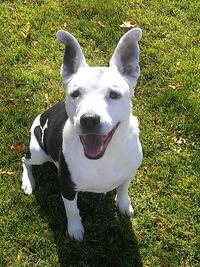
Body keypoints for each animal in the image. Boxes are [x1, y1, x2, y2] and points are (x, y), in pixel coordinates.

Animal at [21, 28, 142, 242]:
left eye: (114, 94)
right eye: (75, 93)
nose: (89, 119)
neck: (106, 156)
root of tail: (42, 114)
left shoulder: (129, 172)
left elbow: (123, 188)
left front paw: (123, 204)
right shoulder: (67, 187)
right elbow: (72, 210)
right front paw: (75, 229)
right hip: (38, 152)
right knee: (24, 160)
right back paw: (28, 182)